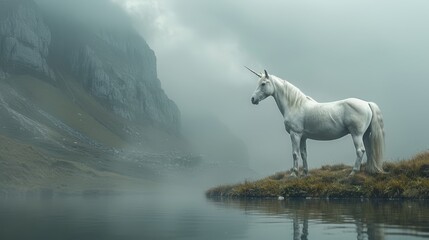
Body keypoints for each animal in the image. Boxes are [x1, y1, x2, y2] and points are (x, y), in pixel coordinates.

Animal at [246, 67, 382, 176]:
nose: (253, 99)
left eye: (263, 84)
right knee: (369, 149)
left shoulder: (295, 134)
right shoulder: (303, 136)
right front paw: (305, 174)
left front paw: (293, 174)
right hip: (365, 135)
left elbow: (295, 153)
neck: (295, 105)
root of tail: (367, 103)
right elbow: (303, 154)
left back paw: (353, 173)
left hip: (356, 134)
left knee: (360, 150)